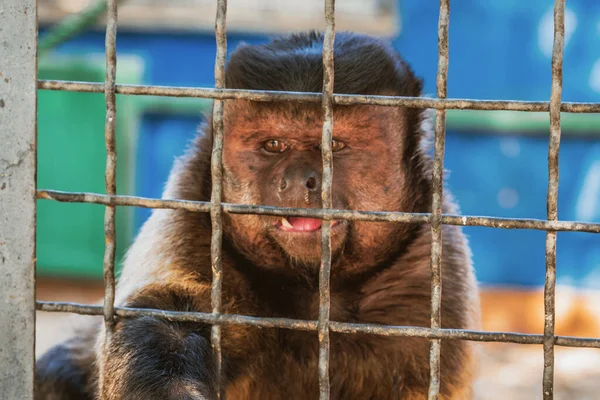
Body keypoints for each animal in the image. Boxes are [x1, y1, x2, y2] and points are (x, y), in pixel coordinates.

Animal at [35, 32, 480, 400]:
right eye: (273, 145)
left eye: (334, 145)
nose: (301, 180)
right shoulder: (192, 222)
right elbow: (168, 323)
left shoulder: (429, 274)